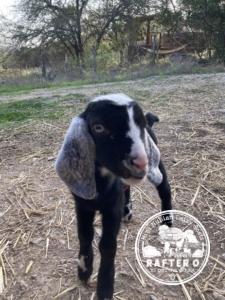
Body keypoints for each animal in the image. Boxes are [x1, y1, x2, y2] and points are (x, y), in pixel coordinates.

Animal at [55, 94, 171, 300]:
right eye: (98, 127)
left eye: (139, 126)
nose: (141, 163)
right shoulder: (82, 205)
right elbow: (84, 235)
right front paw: (84, 271)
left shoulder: (112, 208)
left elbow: (107, 245)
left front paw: (104, 288)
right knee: (127, 190)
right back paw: (128, 211)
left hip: (158, 165)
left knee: (165, 190)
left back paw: (167, 223)